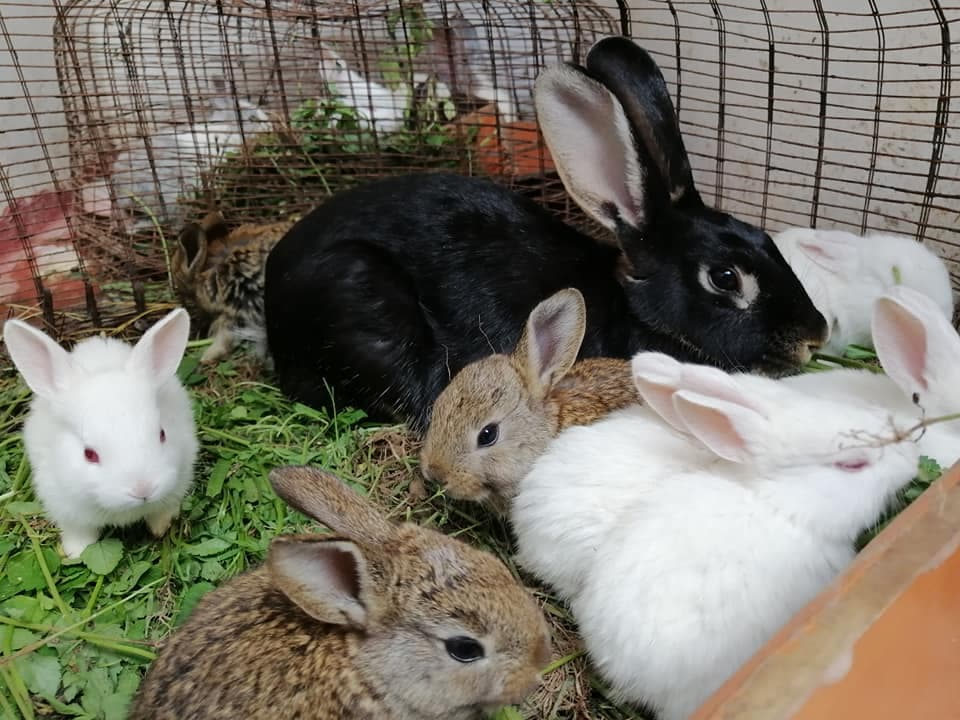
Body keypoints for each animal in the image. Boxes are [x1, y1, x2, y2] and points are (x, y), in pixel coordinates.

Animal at [2, 309, 198, 559]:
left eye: (162, 434)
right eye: (89, 454)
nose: (142, 490)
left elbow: (162, 512)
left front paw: (161, 528)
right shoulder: (66, 508)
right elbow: (79, 533)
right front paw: (75, 552)